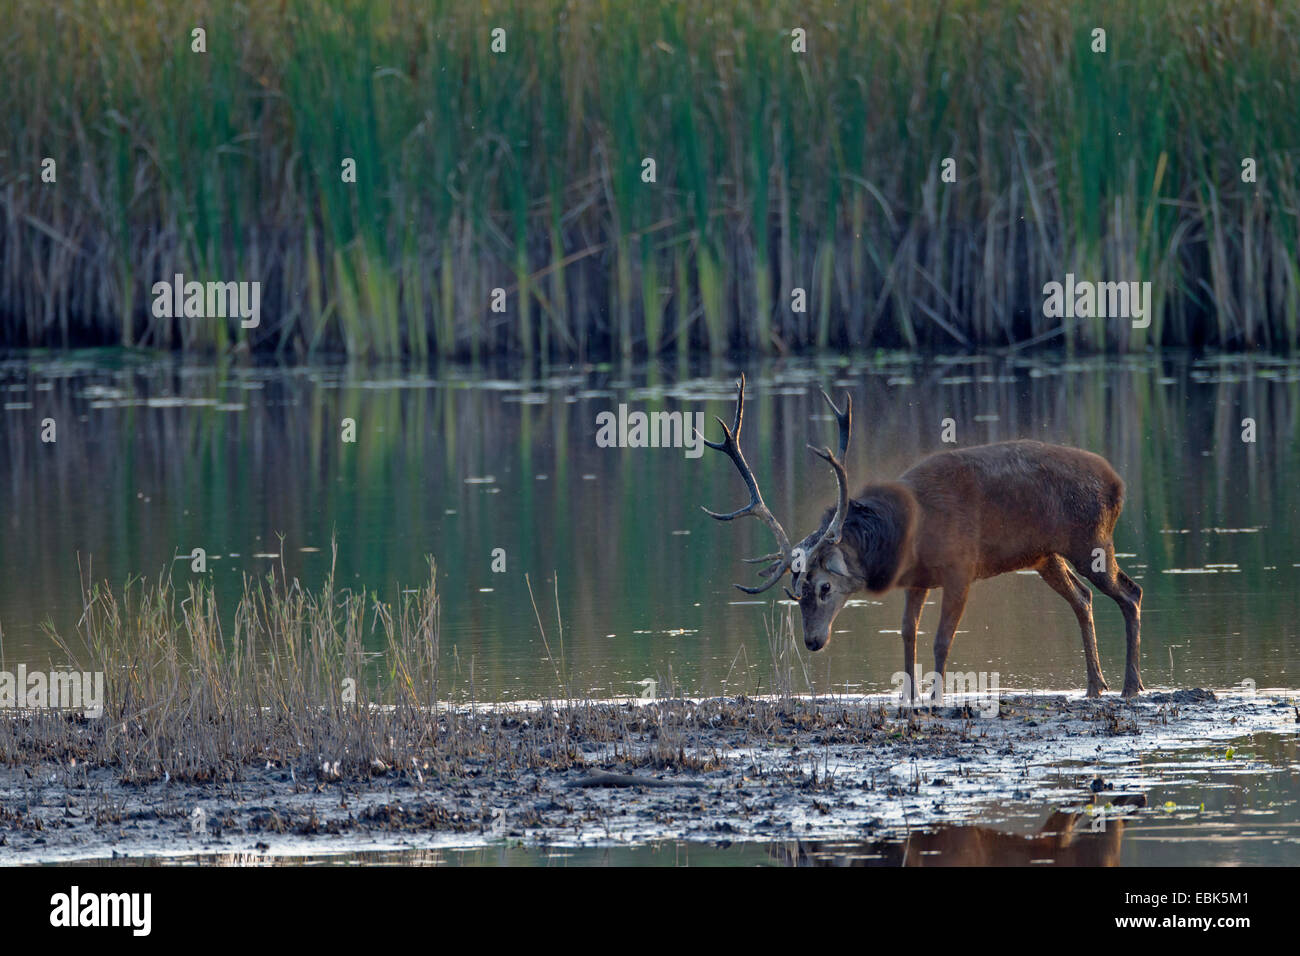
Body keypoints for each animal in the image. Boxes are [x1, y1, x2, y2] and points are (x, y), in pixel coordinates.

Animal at [707, 377, 1144, 707]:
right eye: (796, 593)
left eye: (825, 586)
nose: (813, 641)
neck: (910, 535)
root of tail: (1118, 485)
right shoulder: (918, 581)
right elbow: (907, 633)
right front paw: (909, 696)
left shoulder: (960, 570)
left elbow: (941, 639)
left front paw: (936, 697)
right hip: (1045, 556)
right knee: (1083, 598)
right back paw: (1095, 685)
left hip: (1091, 540)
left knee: (1130, 592)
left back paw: (1131, 686)